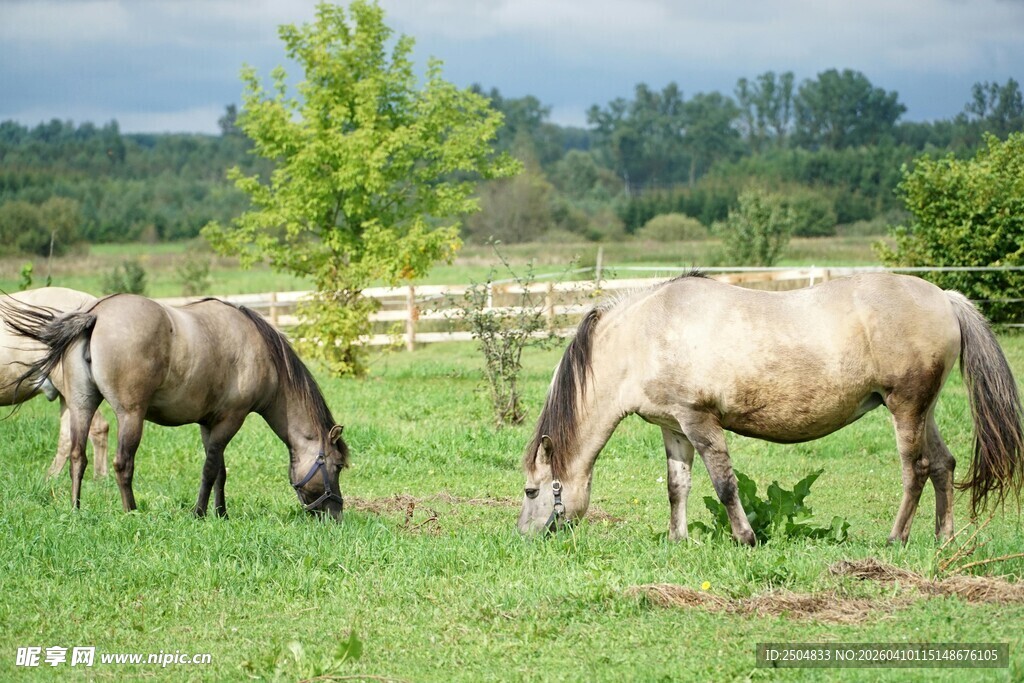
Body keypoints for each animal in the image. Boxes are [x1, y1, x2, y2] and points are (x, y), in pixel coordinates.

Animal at [517, 272, 1024, 545]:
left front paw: (745, 537)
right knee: (943, 465)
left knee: (915, 470)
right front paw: (678, 539)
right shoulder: (674, 426)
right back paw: (944, 539)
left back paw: (896, 538)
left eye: (530, 491)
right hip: (925, 411)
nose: (523, 535)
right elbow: (677, 486)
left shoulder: (700, 420)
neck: (646, 334)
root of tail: (944, 297)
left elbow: (724, 484)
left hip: (905, 409)